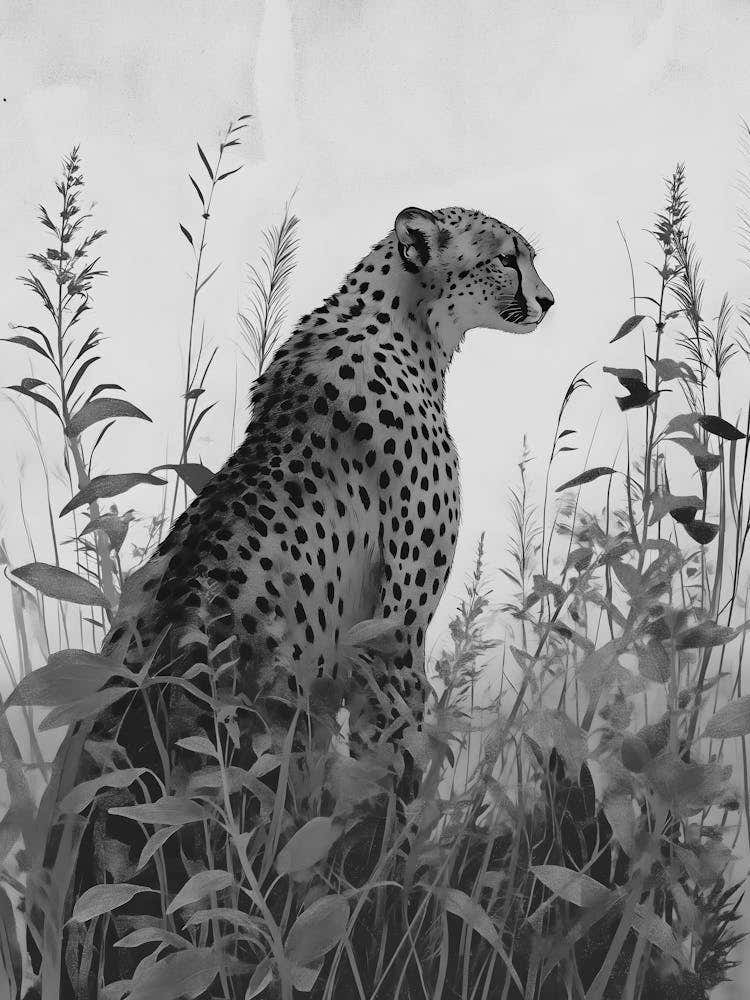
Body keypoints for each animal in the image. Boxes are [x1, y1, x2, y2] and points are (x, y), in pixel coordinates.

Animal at [24, 205, 553, 995]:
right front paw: (397, 885)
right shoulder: (392, 640)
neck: (407, 322)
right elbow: (393, 774)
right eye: (507, 258)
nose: (549, 299)